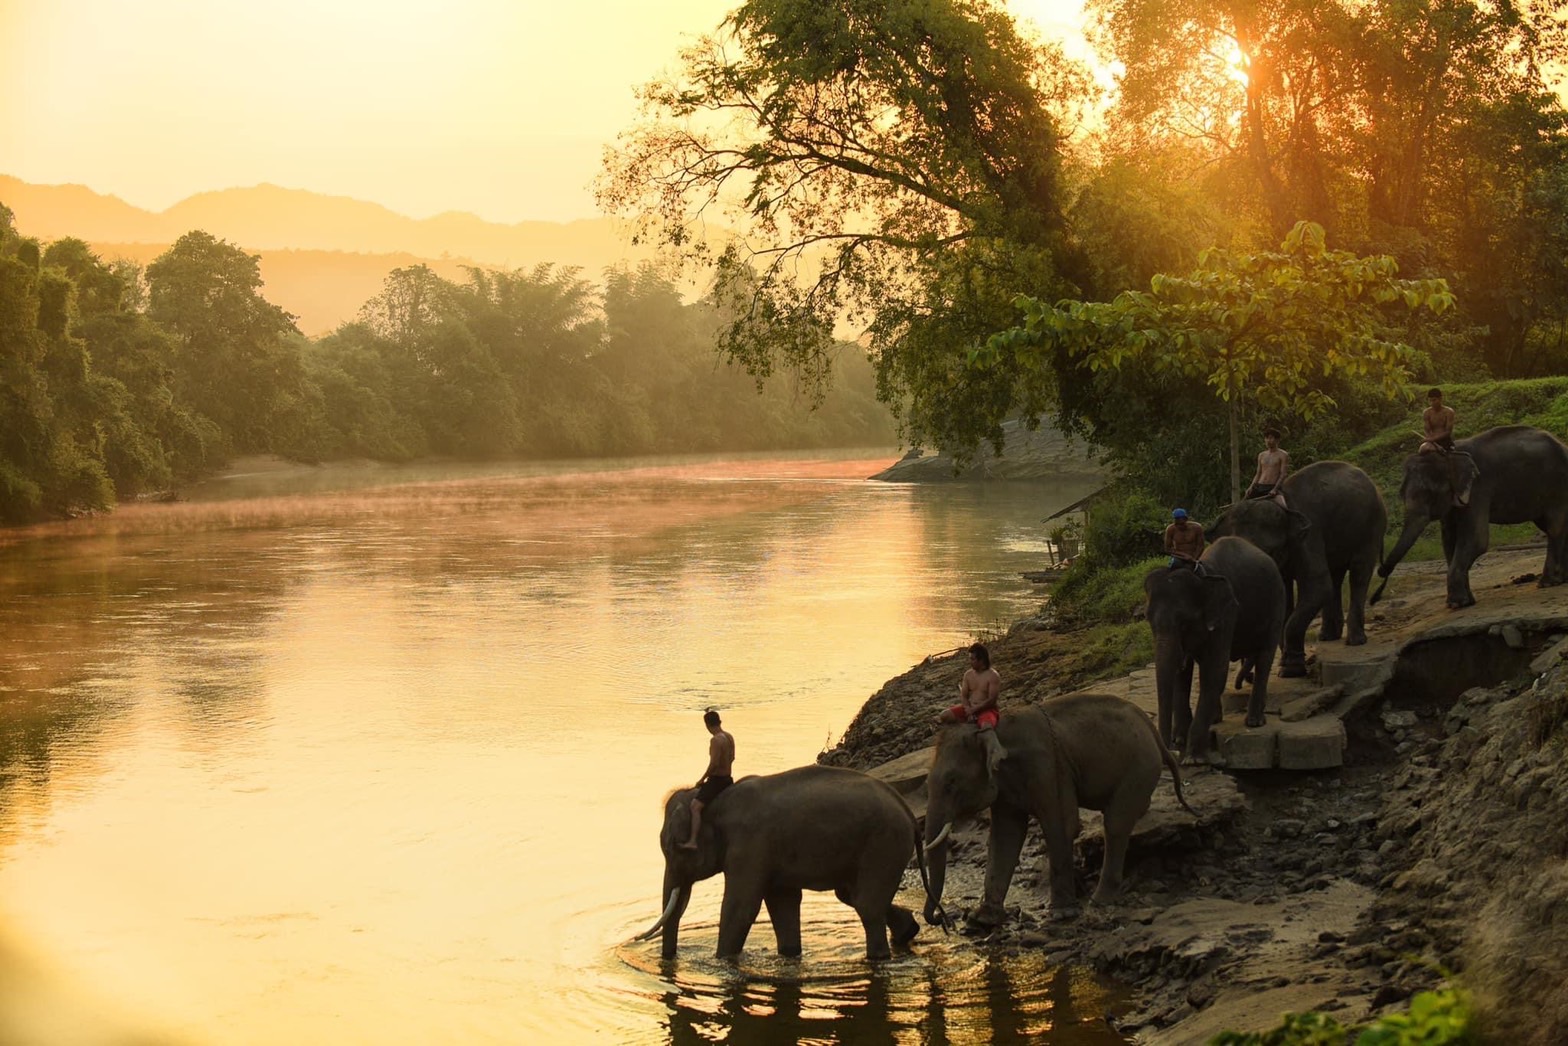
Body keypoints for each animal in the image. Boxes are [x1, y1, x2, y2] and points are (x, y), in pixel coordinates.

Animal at [633, 765, 928, 959]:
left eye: (673, 849)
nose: (670, 960)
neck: (714, 800)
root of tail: (909, 813)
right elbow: (782, 902)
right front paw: (789, 953)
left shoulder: (749, 845)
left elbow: (740, 907)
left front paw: (721, 961)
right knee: (852, 896)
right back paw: (908, 932)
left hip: (883, 844)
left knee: (866, 905)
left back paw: (879, 957)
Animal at [1141, 536, 1285, 755]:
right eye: (1149, 620)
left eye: (1184, 622)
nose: (1170, 750)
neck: (1202, 576)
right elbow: (1182, 674)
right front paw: (1180, 739)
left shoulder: (1227, 614)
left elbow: (1216, 670)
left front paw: (1193, 756)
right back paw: (1217, 719)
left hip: (1276, 603)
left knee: (1265, 657)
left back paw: (1254, 721)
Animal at [1210, 461, 1386, 674]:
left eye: (1272, 551)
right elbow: (1287, 596)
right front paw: (1285, 663)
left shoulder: (1308, 537)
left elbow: (1317, 587)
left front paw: (1291, 669)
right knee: (1335, 577)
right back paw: (1327, 637)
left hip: (1371, 527)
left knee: (1358, 573)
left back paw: (1355, 641)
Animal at [1379, 420, 1561, 608]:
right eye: (1401, 494)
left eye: (1429, 494)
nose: (1381, 570)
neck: (1448, 454)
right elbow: (1449, 541)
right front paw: (1466, 602)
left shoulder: (1478, 488)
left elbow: (1476, 539)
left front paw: (1456, 604)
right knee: (1550, 526)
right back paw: (1558, 580)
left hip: (1556, 482)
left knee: (1555, 527)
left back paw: (1548, 582)